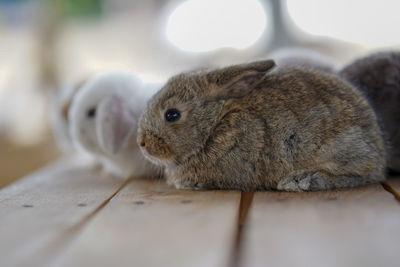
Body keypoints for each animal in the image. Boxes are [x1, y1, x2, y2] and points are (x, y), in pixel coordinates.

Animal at [137, 59, 384, 192]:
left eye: (172, 114)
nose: (142, 144)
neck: (214, 124)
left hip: (337, 147)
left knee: (358, 175)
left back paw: (301, 181)